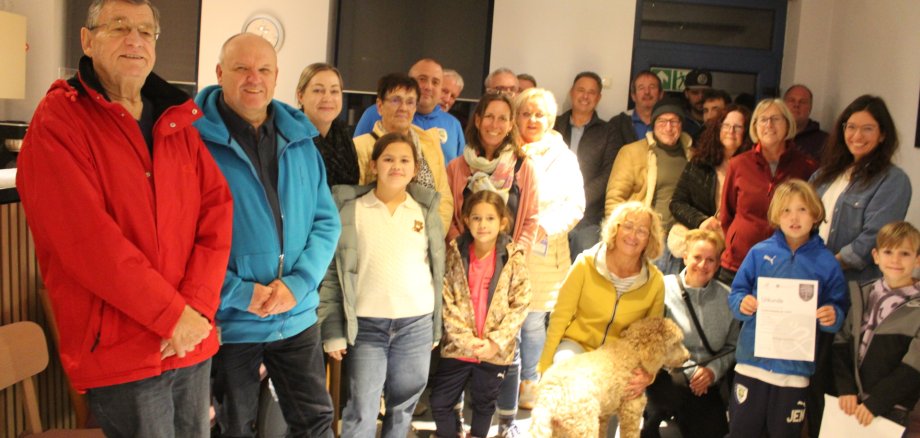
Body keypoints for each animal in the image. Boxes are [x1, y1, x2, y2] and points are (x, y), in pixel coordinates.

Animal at [529, 316, 690, 438]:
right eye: (675, 343)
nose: (687, 357)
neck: (633, 350)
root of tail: (548, 394)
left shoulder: (604, 415)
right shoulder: (631, 411)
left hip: (559, 429)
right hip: (584, 427)